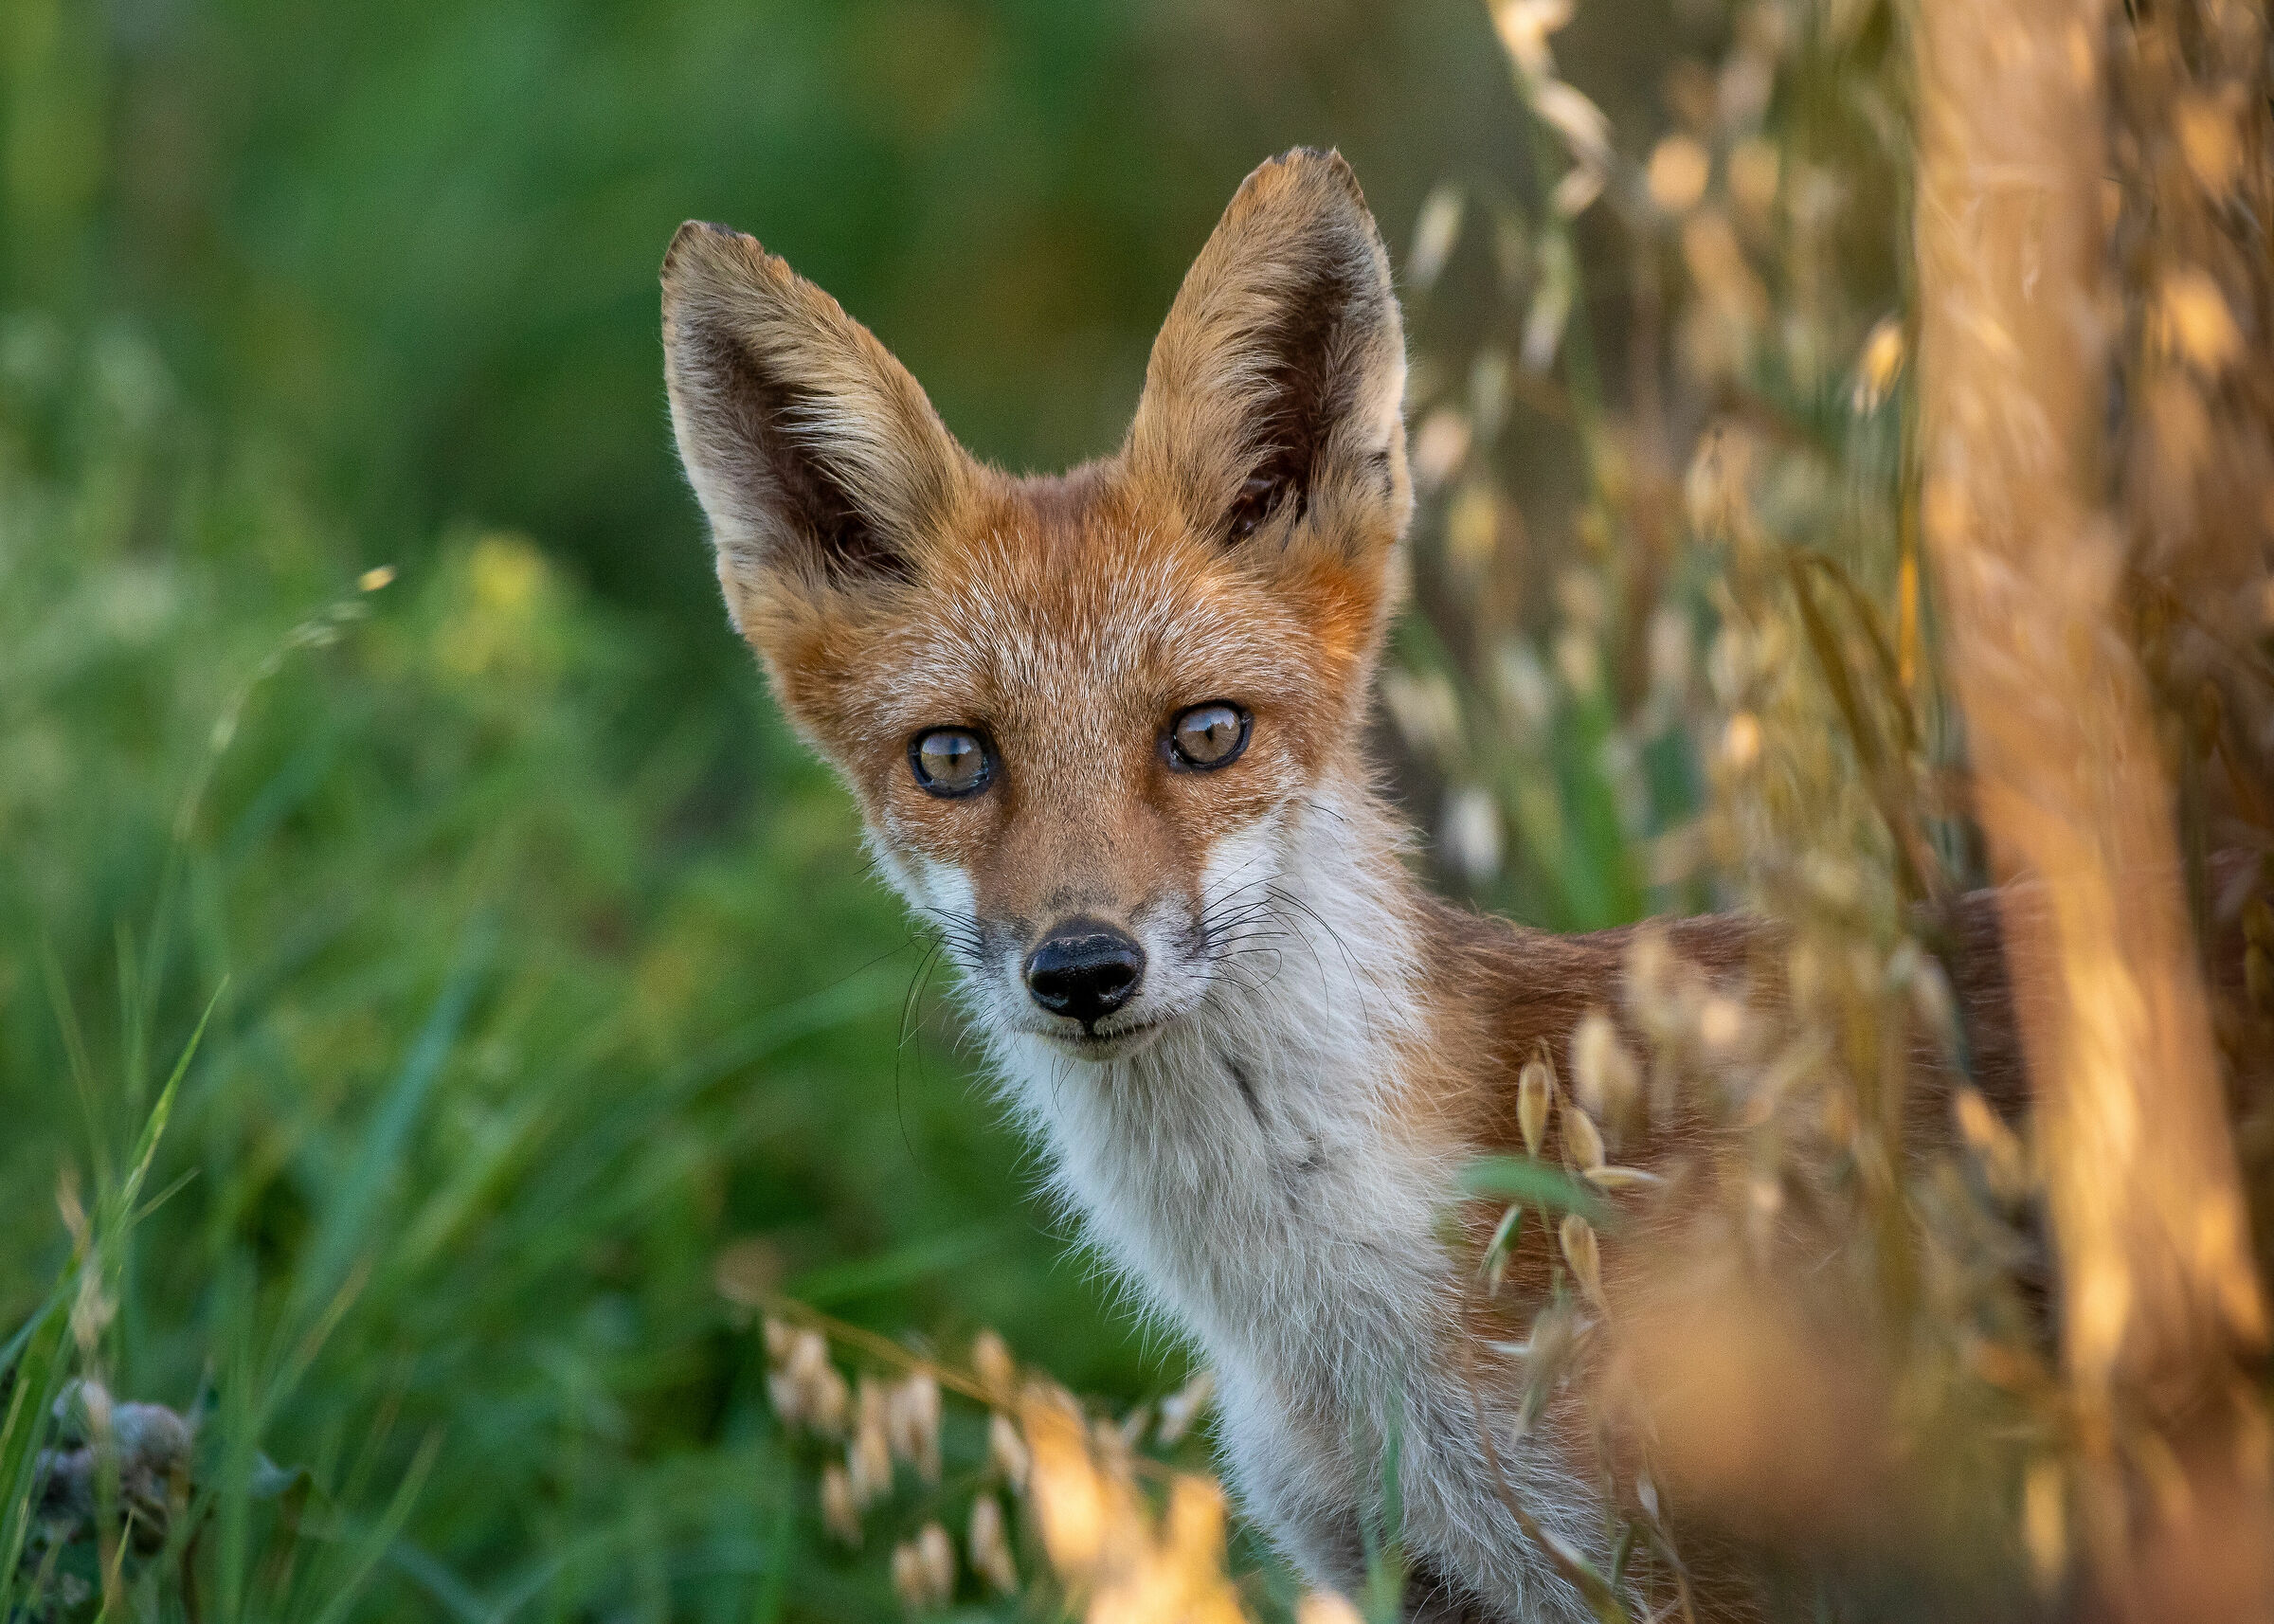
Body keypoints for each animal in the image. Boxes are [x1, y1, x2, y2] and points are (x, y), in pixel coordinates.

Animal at [658, 149, 2021, 1622]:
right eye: (953, 757)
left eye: (1207, 733)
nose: (1083, 968)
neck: (1332, 1330)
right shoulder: (1402, 1568)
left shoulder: (1689, 1570)